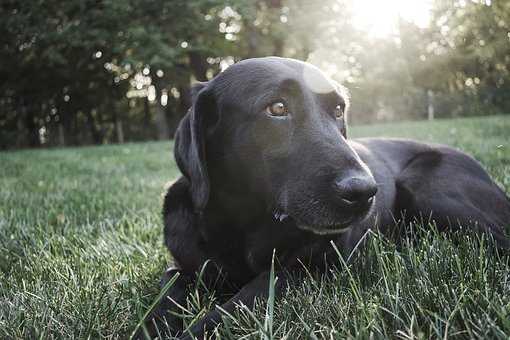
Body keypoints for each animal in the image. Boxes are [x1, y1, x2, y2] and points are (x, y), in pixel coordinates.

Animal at [137, 57, 508, 338]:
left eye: (339, 110)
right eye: (277, 108)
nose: (365, 192)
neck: (244, 223)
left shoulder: (305, 268)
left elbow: (242, 300)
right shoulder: (185, 266)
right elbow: (165, 293)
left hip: (427, 188)